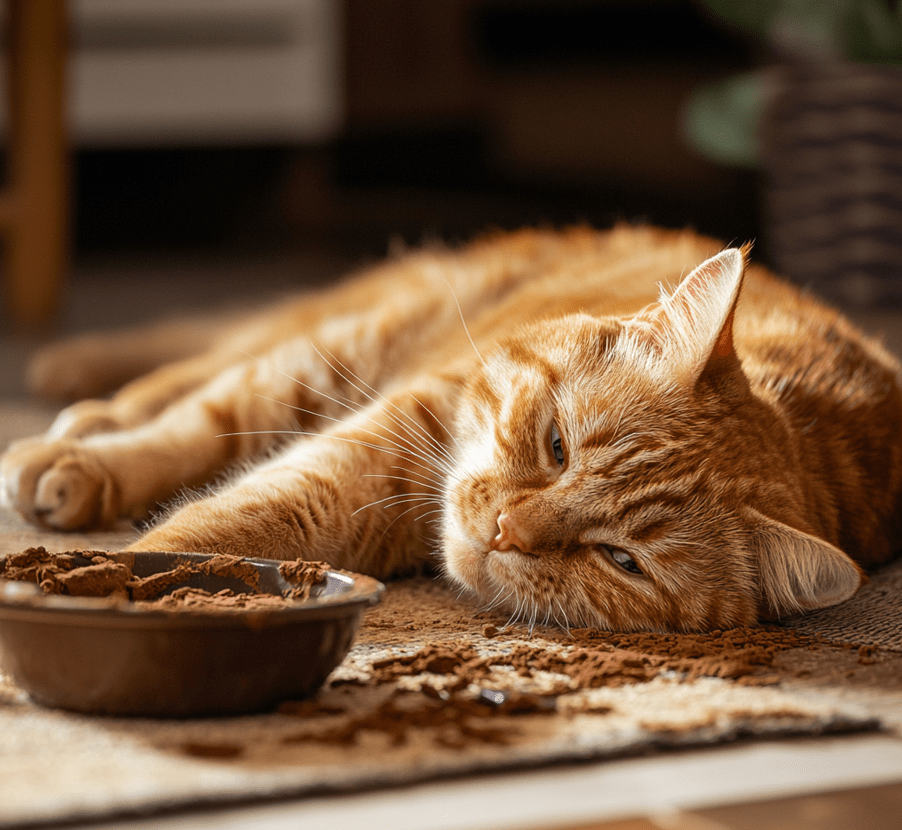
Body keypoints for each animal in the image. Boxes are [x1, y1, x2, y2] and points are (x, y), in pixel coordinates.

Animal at [1, 228, 902, 632]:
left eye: (622, 560)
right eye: (557, 447)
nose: (506, 529)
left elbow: (246, 513)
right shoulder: (387, 422)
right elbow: (219, 488)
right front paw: (108, 571)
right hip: (336, 351)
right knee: (206, 375)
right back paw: (80, 425)